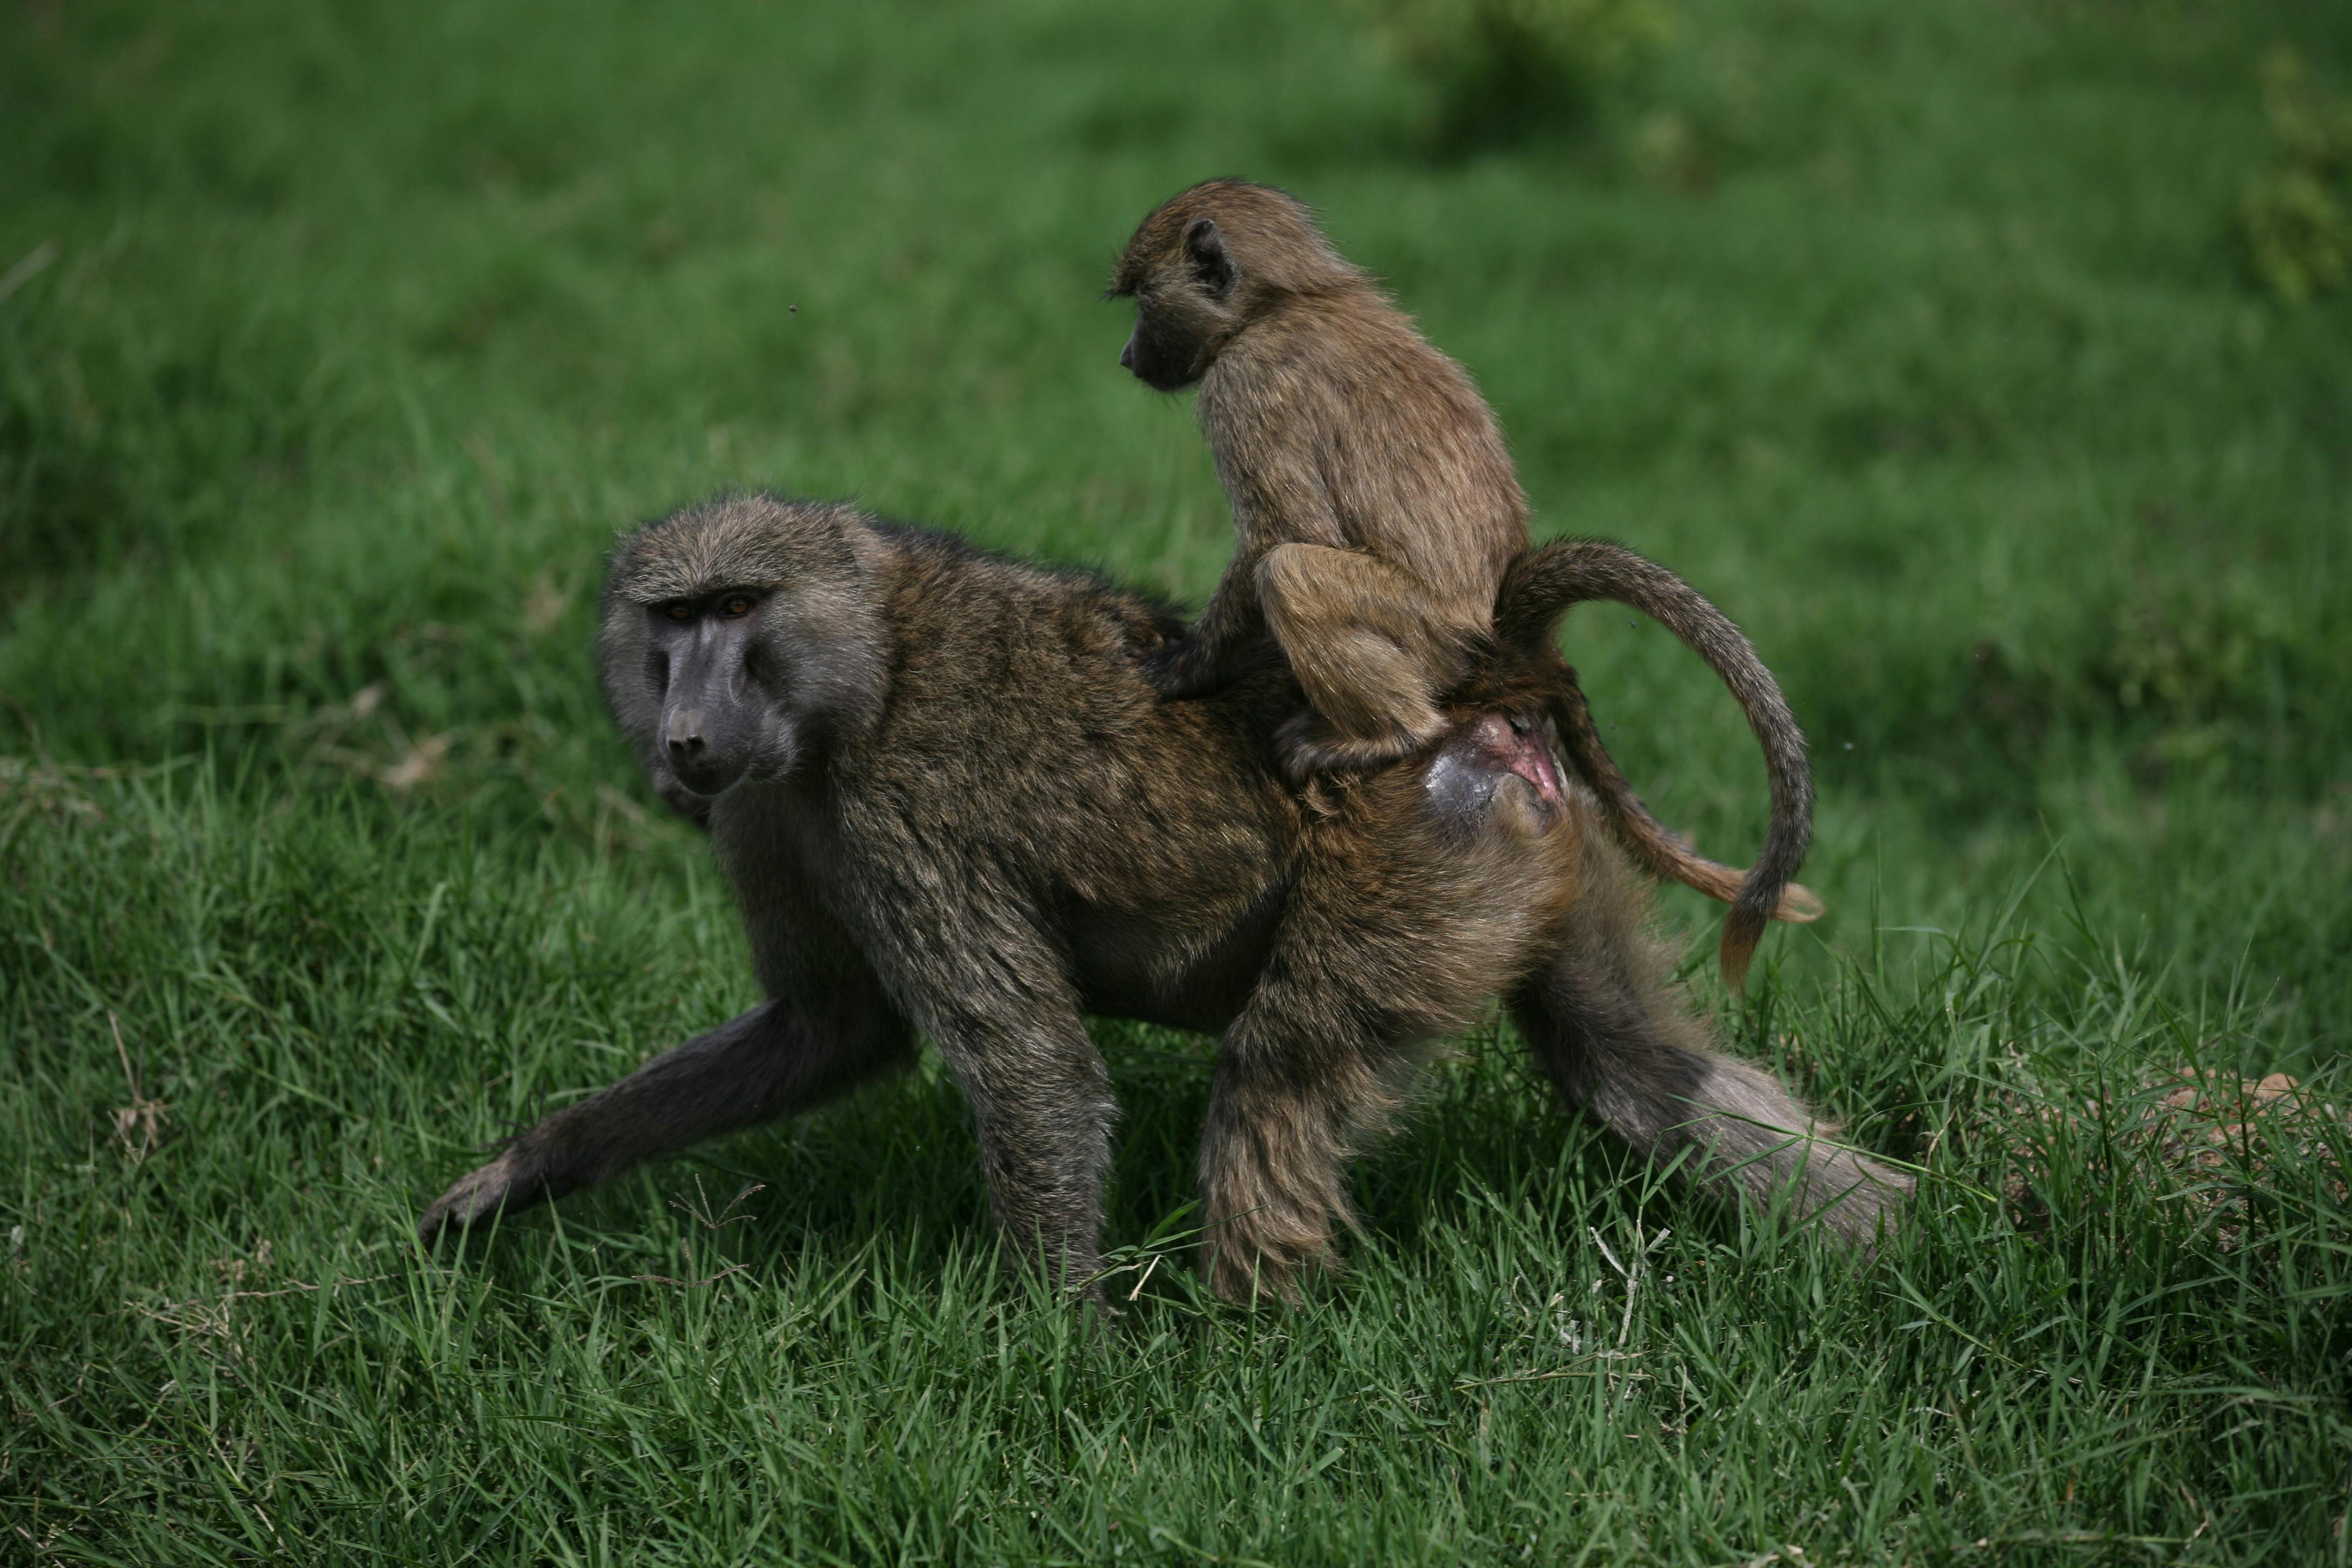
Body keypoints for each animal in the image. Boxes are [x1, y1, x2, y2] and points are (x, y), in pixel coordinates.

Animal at [417, 494, 1907, 1306]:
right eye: (670, 620)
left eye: (739, 607)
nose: (685, 737)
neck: (860, 671)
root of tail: (1471, 691)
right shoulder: (767, 811)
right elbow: (829, 1027)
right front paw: (525, 1172)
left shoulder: (901, 814)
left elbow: (1028, 1066)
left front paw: (1053, 1365)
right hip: (1526, 860)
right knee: (1632, 1071)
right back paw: (1900, 1242)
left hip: (1413, 870)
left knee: (1276, 1088)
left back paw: (1244, 1367)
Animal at [1110, 178, 1818, 986]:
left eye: (1143, 300)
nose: (1127, 356)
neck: (1285, 303)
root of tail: (1503, 641)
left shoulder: (1245, 387)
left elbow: (1281, 534)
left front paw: (1181, 668)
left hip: (1428, 636)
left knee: (1292, 574)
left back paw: (1383, 736)